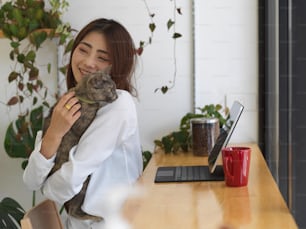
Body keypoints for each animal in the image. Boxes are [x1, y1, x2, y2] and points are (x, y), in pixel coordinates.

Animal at [43, 67, 117, 221]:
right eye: (110, 89)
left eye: (115, 87)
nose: (117, 95)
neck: (79, 94)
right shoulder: (82, 124)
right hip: (83, 184)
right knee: (74, 212)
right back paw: (94, 216)